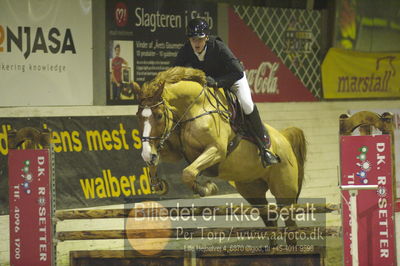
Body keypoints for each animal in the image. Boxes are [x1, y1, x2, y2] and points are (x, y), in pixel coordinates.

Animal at [134, 67, 306, 245]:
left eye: (159, 116)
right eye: (138, 116)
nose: (146, 153)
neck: (195, 108)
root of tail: (284, 138)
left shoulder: (216, 149)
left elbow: (188, 173)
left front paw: (207, 188)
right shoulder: (175, 151)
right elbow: (162, 158)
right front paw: (156, 181)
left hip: (284, 190)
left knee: (289, 221)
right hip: (252, 189)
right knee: (269, 217)